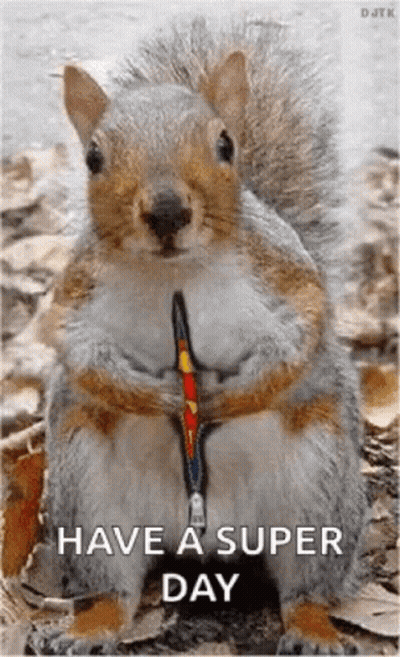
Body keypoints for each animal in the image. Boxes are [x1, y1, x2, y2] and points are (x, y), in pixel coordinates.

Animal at [1, 18, 367, 655]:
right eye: (93, 158)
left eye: (225, 145)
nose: (168, 211)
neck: (176, 274)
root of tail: (206, 539)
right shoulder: (75, 300)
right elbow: (84, 355)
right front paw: (162, 396)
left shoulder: (287, 275)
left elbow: (300, 335)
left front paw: (231, 396)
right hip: (90, 496)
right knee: (114, 587)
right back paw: (90, 626)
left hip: (320, 494)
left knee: (305, 586)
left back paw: (313, 627)